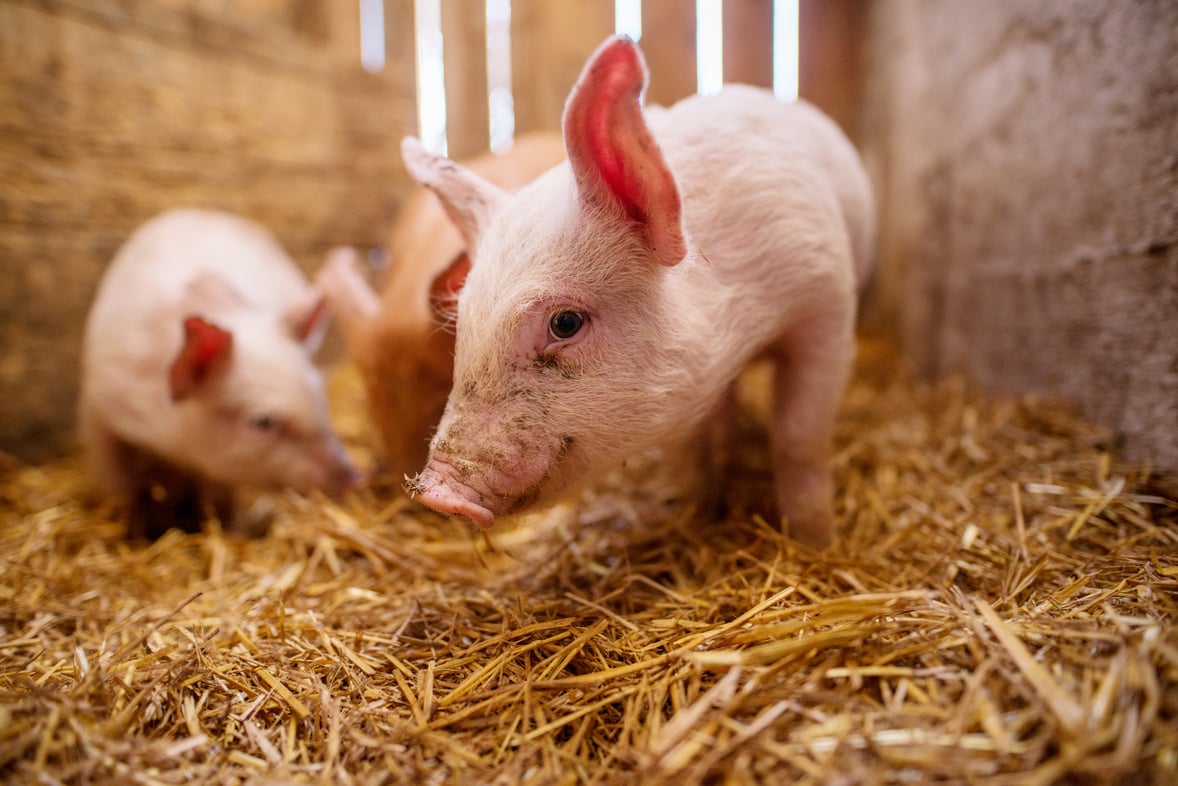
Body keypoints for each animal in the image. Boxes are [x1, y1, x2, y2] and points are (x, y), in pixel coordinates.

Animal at [78, 208, 355, 537]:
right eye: (262, 422)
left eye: (319, 393)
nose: (353, 476)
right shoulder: (99, 407)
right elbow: (117, 483)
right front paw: (134, 531)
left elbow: (218, 496)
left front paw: (222, 528)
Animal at [405, 36, 876, 551]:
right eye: (465, 321)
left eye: (565, 322)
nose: (437, 492)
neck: (746, 322)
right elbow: (692, 443)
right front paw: (698, 511)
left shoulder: (827, 301)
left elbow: (798, 437)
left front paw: (816, 543)